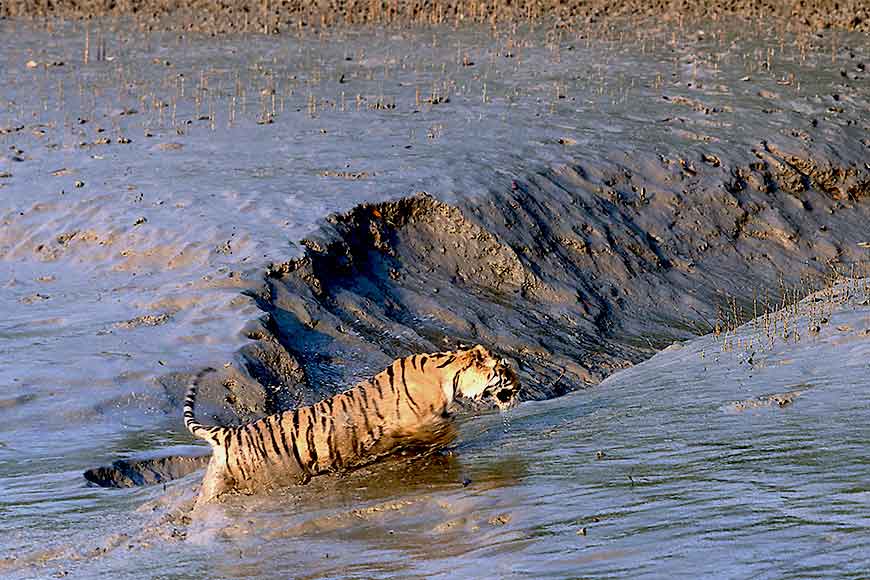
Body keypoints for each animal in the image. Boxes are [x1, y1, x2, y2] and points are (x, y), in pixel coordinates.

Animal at [185, 344, 520, 502]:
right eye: (505, 368)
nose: (519, 386)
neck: (449, 373)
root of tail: (227, 433)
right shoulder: (412, 423)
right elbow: (438, 432)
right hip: (274, 477)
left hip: (216, 483)